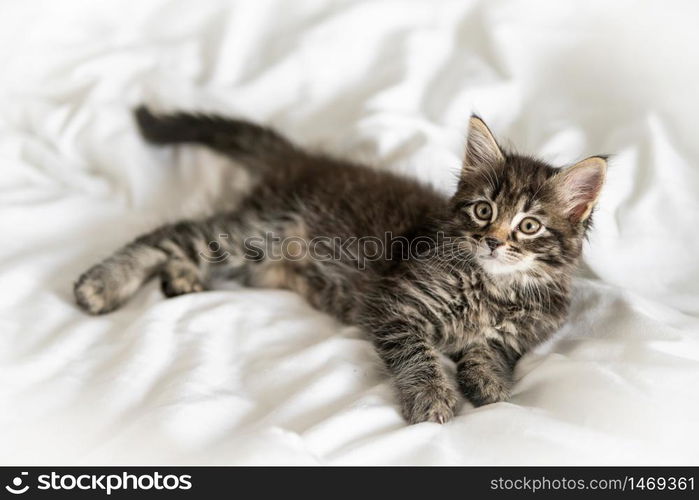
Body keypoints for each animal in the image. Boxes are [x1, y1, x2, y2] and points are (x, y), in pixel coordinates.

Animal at [74, 107, 604, 424]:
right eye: (482, 211)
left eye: (529, 225)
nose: (493, 242)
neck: (495, 286)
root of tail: (304, 160)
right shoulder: (396, 305)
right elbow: (418, 356)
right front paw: (432, 398)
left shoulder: (520, 333)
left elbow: (489, 352)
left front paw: (491, 385)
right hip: (255, 236)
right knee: (167, 235)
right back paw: (102, 283)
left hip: (260, 261)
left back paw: (181, 277)